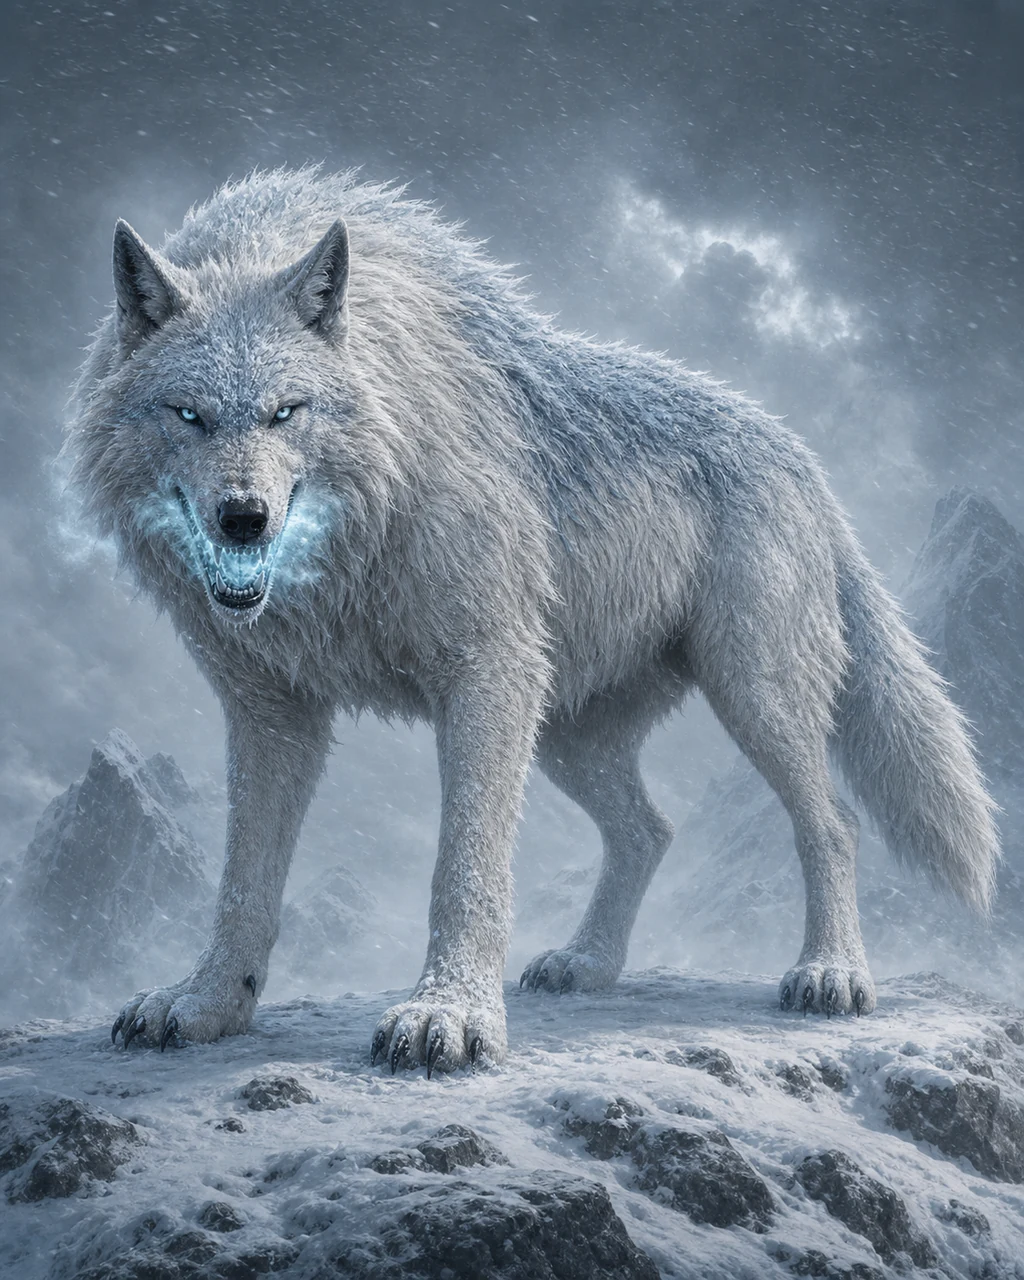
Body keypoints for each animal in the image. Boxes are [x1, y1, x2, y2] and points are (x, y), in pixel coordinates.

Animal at [66, 167, 998, 1073]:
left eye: (286, 411)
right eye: (189, 414)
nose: (244, 518)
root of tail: (805, 462)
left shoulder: (487, 673)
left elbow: (466, 867)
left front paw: (448, 1016)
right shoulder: (271, 713)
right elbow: (243, 882)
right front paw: (206, 1005)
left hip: (747, 694)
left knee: (832, 824)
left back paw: (831, 972)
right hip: (567, 734)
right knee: (650, 831)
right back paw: (589, 964)